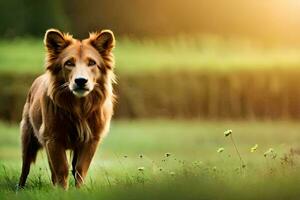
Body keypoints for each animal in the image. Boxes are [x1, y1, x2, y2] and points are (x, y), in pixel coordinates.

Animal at [17, 28, 116, 189]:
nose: (80, 81)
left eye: (92, 63)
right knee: (25, 167)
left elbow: (80, 169)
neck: (79, 107)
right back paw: (19, 188)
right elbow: (61, 169)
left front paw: (79, 190)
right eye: (69, 63)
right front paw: (62, 191)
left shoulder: (91, 140)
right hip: (28, 139)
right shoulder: (53, 139)